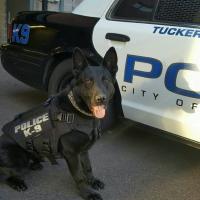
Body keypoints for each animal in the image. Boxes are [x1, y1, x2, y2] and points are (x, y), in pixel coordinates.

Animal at [0, 47, 119, 200]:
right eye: (88, 81)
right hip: (18, 157)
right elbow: (79, 176)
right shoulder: (71, 153)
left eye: (106, 80)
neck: (78, 110)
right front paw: (87, 193)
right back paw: (17, 182)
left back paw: (35, 164)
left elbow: (88, 167)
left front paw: (92, 181)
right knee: (7, 174)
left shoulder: (83, 150)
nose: (100, 99)